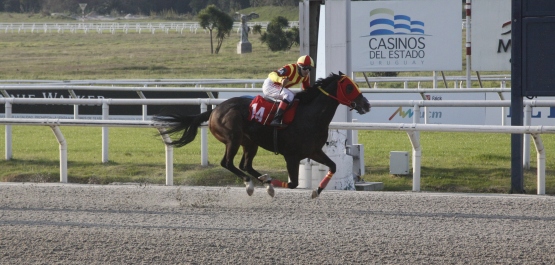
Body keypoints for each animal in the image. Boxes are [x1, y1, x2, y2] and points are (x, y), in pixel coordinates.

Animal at [154, 72, 372, 198]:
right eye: (349, 87)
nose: (366, 104)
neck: (310, 116)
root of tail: (216, 110)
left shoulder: (314, 151)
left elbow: (333, 165)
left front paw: (316, 191)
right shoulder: (291, 156)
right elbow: (292, 184)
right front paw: (270, 184)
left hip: (250, 143)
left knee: (245, 165)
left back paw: (261, 181)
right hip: (232, 138)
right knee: (228, 163)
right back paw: (251, 184)